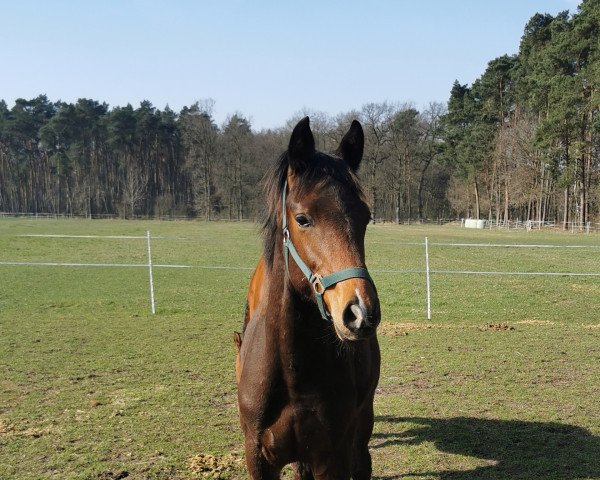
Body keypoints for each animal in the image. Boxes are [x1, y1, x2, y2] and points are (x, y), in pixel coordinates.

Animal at [234, 117, 380, 480]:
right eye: (302, 219)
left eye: (365, 217)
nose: (360, 312)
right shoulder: (259, 459)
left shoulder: (332, 457)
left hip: (361, 428)